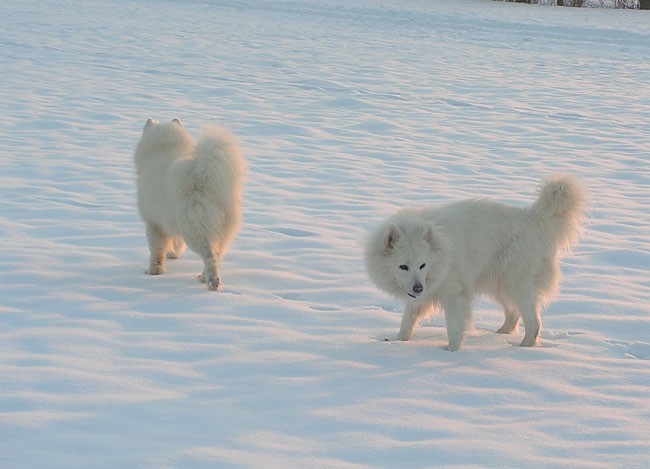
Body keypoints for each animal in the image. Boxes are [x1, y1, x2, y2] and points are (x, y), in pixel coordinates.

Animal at [133, 118, 244, 288]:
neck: (164, 149)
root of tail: (202, 178)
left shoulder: (154, 223)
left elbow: (156, 250)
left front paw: (154, 272)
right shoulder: (170, 219)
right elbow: (176, 242)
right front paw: (173, 254)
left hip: (195, 228)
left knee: (209, 256)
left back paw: (212, 282)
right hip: (221, 231)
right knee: (217, 254)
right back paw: (203, 278)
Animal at [364, 174, 588, 350]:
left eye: (422, 265)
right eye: (403, 266)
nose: (418, 288)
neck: (441, 258)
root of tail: (535, 219)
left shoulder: (454, 294)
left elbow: (454, 327)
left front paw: (451, 351)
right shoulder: (422, 296)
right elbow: (407, 322)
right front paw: (398, 342)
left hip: (516, 283)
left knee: (533, 322)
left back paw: (521, 348)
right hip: (500, 284)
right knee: (514, 314)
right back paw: (500, 333)